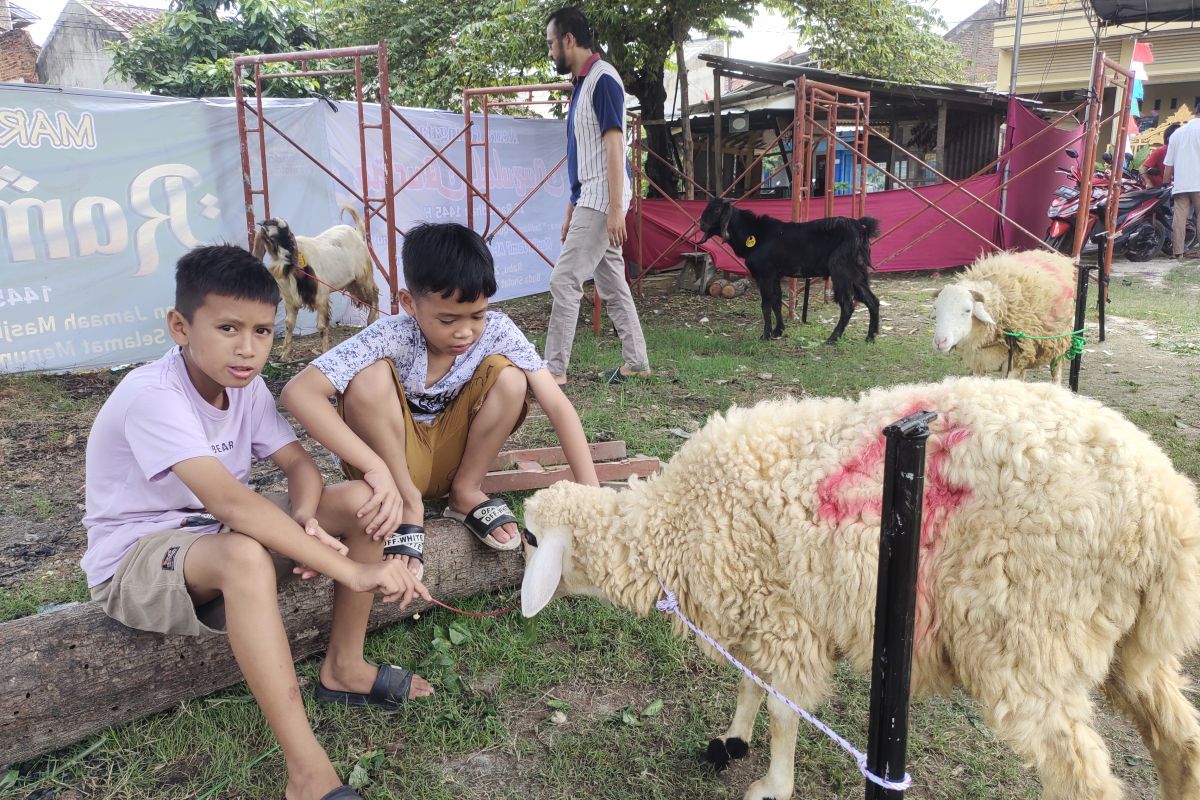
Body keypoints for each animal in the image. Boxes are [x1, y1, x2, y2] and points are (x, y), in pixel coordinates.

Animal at [253, 205, 379, 357]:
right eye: (269, 239)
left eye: (288, 234)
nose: (289, 257)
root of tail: (358, 234)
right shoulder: (290, 300)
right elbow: (289, 324)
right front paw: (285, 355)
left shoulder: (321, 297)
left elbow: (321, 327)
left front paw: (324, 352)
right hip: (353, 284)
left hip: (363, 277)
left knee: (375, 294)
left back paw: (373, 320)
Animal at [520, 379, 1200, 800]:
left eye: (529, 540)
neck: (669, 527)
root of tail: (1165, 508)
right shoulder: (756, 612)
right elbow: (751, 685)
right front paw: (733, 739)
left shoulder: (782, 618)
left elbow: (784, 708)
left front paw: (773, 785)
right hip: (1126, 645)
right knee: (1180, 739)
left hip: (1029, 642)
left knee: (1084, 778)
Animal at [696, 199, 883, 343]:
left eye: (718, 210)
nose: (701, 224)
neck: (755, 235)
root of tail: (861, 229)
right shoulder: (775, 276)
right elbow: (777, 302)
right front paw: (778, 331)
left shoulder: (765, 275)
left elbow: (766, 304)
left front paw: (765, 335)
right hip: (857, 273)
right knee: (872, 300)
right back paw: (870, 337)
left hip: (841, 271)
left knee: (847, 305)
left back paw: (833, 338)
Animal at [926, 253, 1080, 383]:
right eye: (936, 308)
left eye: (968, 310)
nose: (940, 341)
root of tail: (1058, 256)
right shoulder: (979, 361)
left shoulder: (1012, 363)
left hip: (1059, 341)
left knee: (1056, 372)